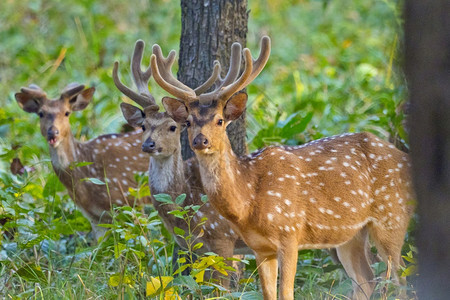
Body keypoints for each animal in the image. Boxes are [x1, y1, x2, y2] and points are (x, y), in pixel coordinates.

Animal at [110, 39, 250, 286]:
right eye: (143, 126)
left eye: (173, 127)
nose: (149, 145)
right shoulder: (193, 247)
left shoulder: (223, 238)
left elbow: (220, 287)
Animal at [150, 37, 414, 300]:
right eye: (188, 122)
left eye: (220, 120)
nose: (200, 141)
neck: (249, 200)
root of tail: (405, 158)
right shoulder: (260, 248)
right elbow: (269, 294)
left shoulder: (290, 233)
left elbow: (286, 293)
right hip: (350, 235)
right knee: (366, 281)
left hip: (392, 218)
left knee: (400, 280)